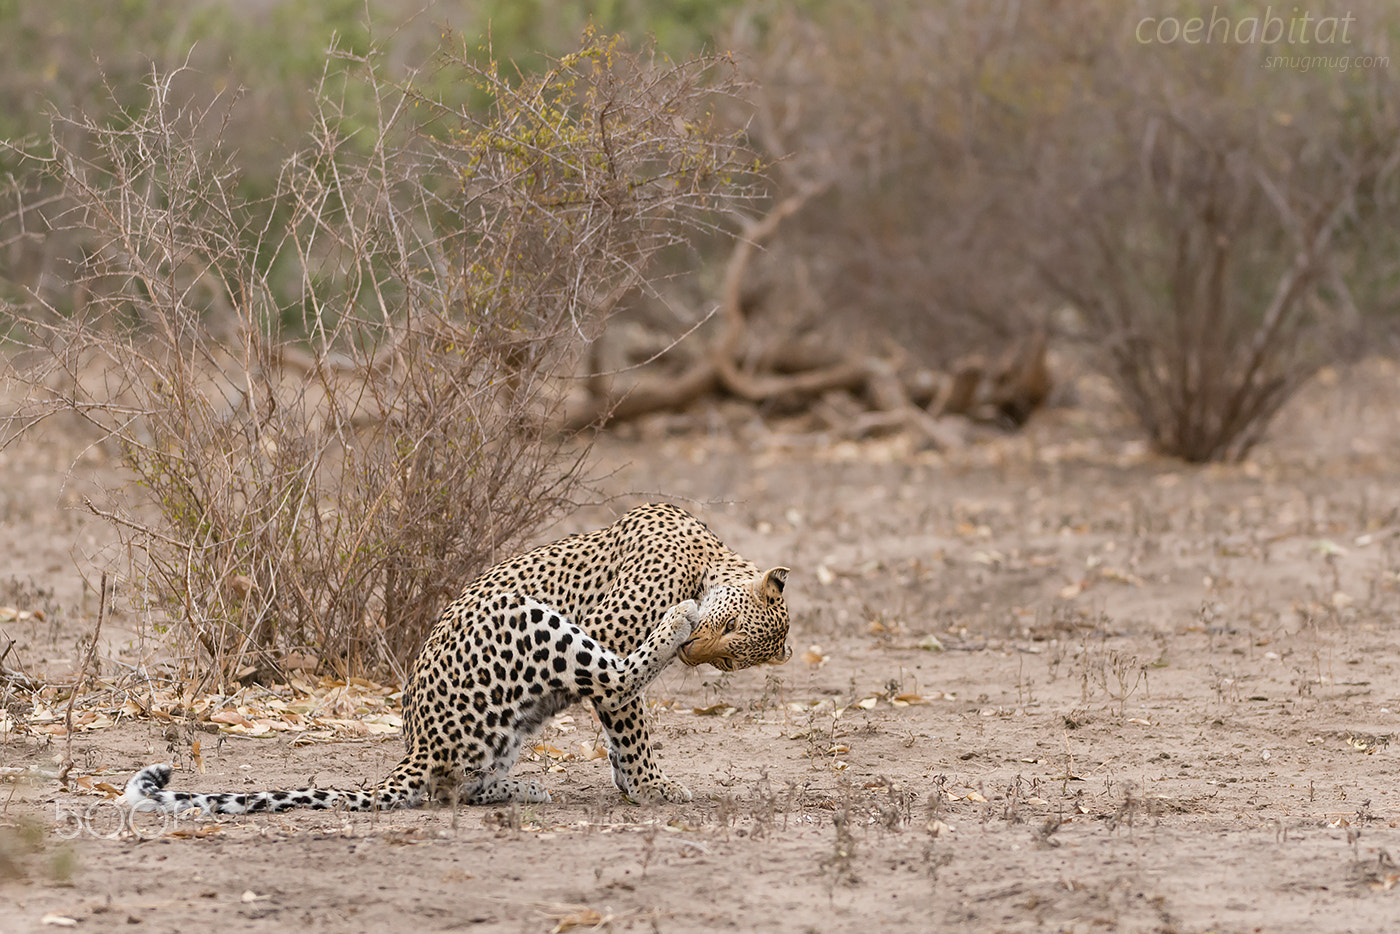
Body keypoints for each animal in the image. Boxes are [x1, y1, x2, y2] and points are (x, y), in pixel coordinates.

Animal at [123, 501, 789, 812]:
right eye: (730, 629)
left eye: (731, 663)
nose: (698, 657)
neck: (706, 556)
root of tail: (416, 746)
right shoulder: (611, 630)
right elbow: (628, 720)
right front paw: (650, 786)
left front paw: (640, 786)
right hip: (518, 616)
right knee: (612, 673)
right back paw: (675, 624)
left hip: (506, 721)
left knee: (460, 787)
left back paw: (524, 789)